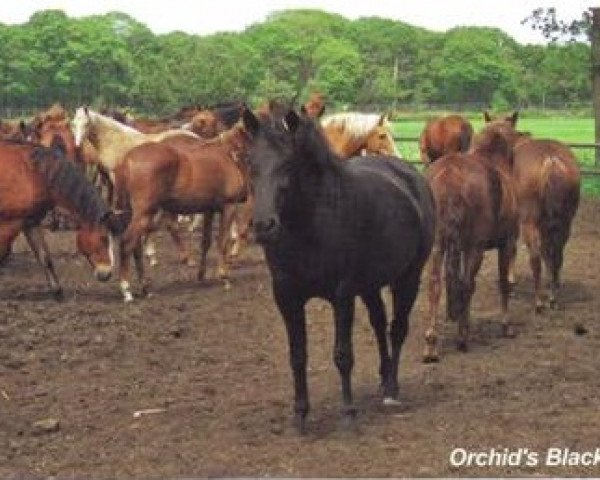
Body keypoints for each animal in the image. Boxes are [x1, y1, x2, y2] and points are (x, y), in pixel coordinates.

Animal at [0, 137, 129, 298]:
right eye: (103, 238)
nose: (107, 274)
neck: (34, 174)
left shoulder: (31, 222)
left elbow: (45, 257)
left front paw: (57, 290)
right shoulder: (9, 224)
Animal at [114, 125, 251, 302]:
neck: (227, 154)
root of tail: (127, 160)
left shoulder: (209, 210)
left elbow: (206, 242)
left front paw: (201, 275)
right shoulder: (229, 207)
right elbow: (222, 241)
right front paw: (224, 277)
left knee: (135, 247)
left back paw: (145, 288)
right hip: (144, 214)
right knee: (127, 243)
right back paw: (127, 289)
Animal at [243, 107, 436, 434]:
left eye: (288, 163)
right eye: (250, 164)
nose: (263, 226)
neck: (310, 225)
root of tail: (411, 176)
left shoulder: (342, 294)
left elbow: (343, 355)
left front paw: (348, 413)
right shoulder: (286, 296)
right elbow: (297, 355)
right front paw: (300, 415)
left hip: (408, 277)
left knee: (397, 329)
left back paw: (392, 390)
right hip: (370, 286)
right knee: (379, 323)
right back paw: (383, 379)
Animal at [422, 125, 520, 362]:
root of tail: (449, 175)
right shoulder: (507, 243)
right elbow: (503, 283)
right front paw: (506, 326)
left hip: (437, 245)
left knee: (434, 285)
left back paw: (431, 343)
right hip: (475, 249)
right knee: (467, 284)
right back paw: (462, 336)